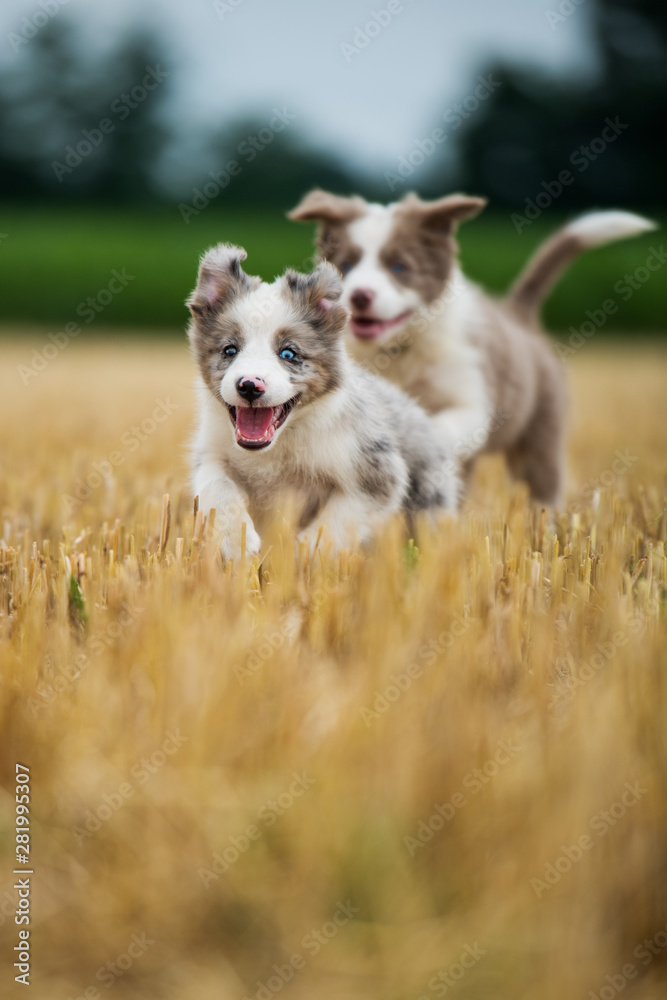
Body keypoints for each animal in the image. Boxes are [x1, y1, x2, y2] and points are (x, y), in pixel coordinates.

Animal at [188, 240, 460, 556]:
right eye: (229, 350)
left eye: (288, 354)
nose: (249, 386)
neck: (279, 445)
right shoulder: (211, 454)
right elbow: (216, 489)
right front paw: (235, 542)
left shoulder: (378, 473)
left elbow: (335, 525)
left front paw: (299, 556)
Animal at [290, 192, 656, 508]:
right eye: (347, 266)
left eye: (399, 267)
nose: (359, 296)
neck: (400, 350)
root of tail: (516, 314)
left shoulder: (472, 399)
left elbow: (440, 427)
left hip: (542, 431)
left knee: (543, 486)